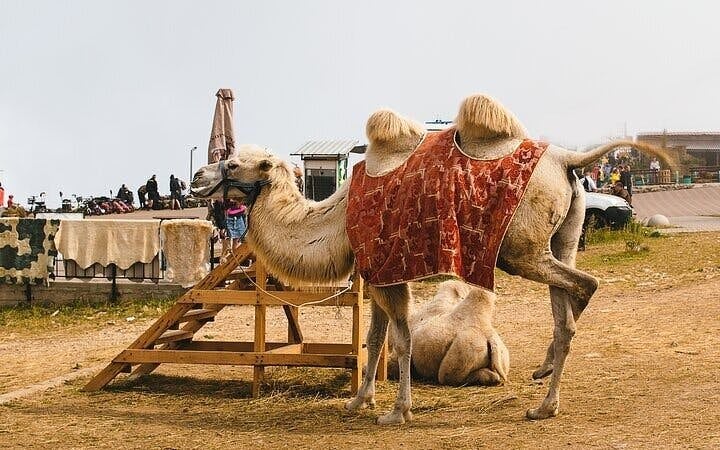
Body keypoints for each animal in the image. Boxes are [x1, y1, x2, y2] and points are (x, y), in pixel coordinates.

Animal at [191, 94, 670, 425]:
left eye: (233, 165)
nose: (197, 177)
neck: (337, 217)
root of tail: (568, 158)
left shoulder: (387, 270)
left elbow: (401, 339)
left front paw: (397, 412)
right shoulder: (378, 272)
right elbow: (374, 339)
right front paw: (358, 401)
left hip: (522, 250)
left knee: (584, 285)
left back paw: (546, 393)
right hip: (560, 237)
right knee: (566, 300)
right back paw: (544, 389)